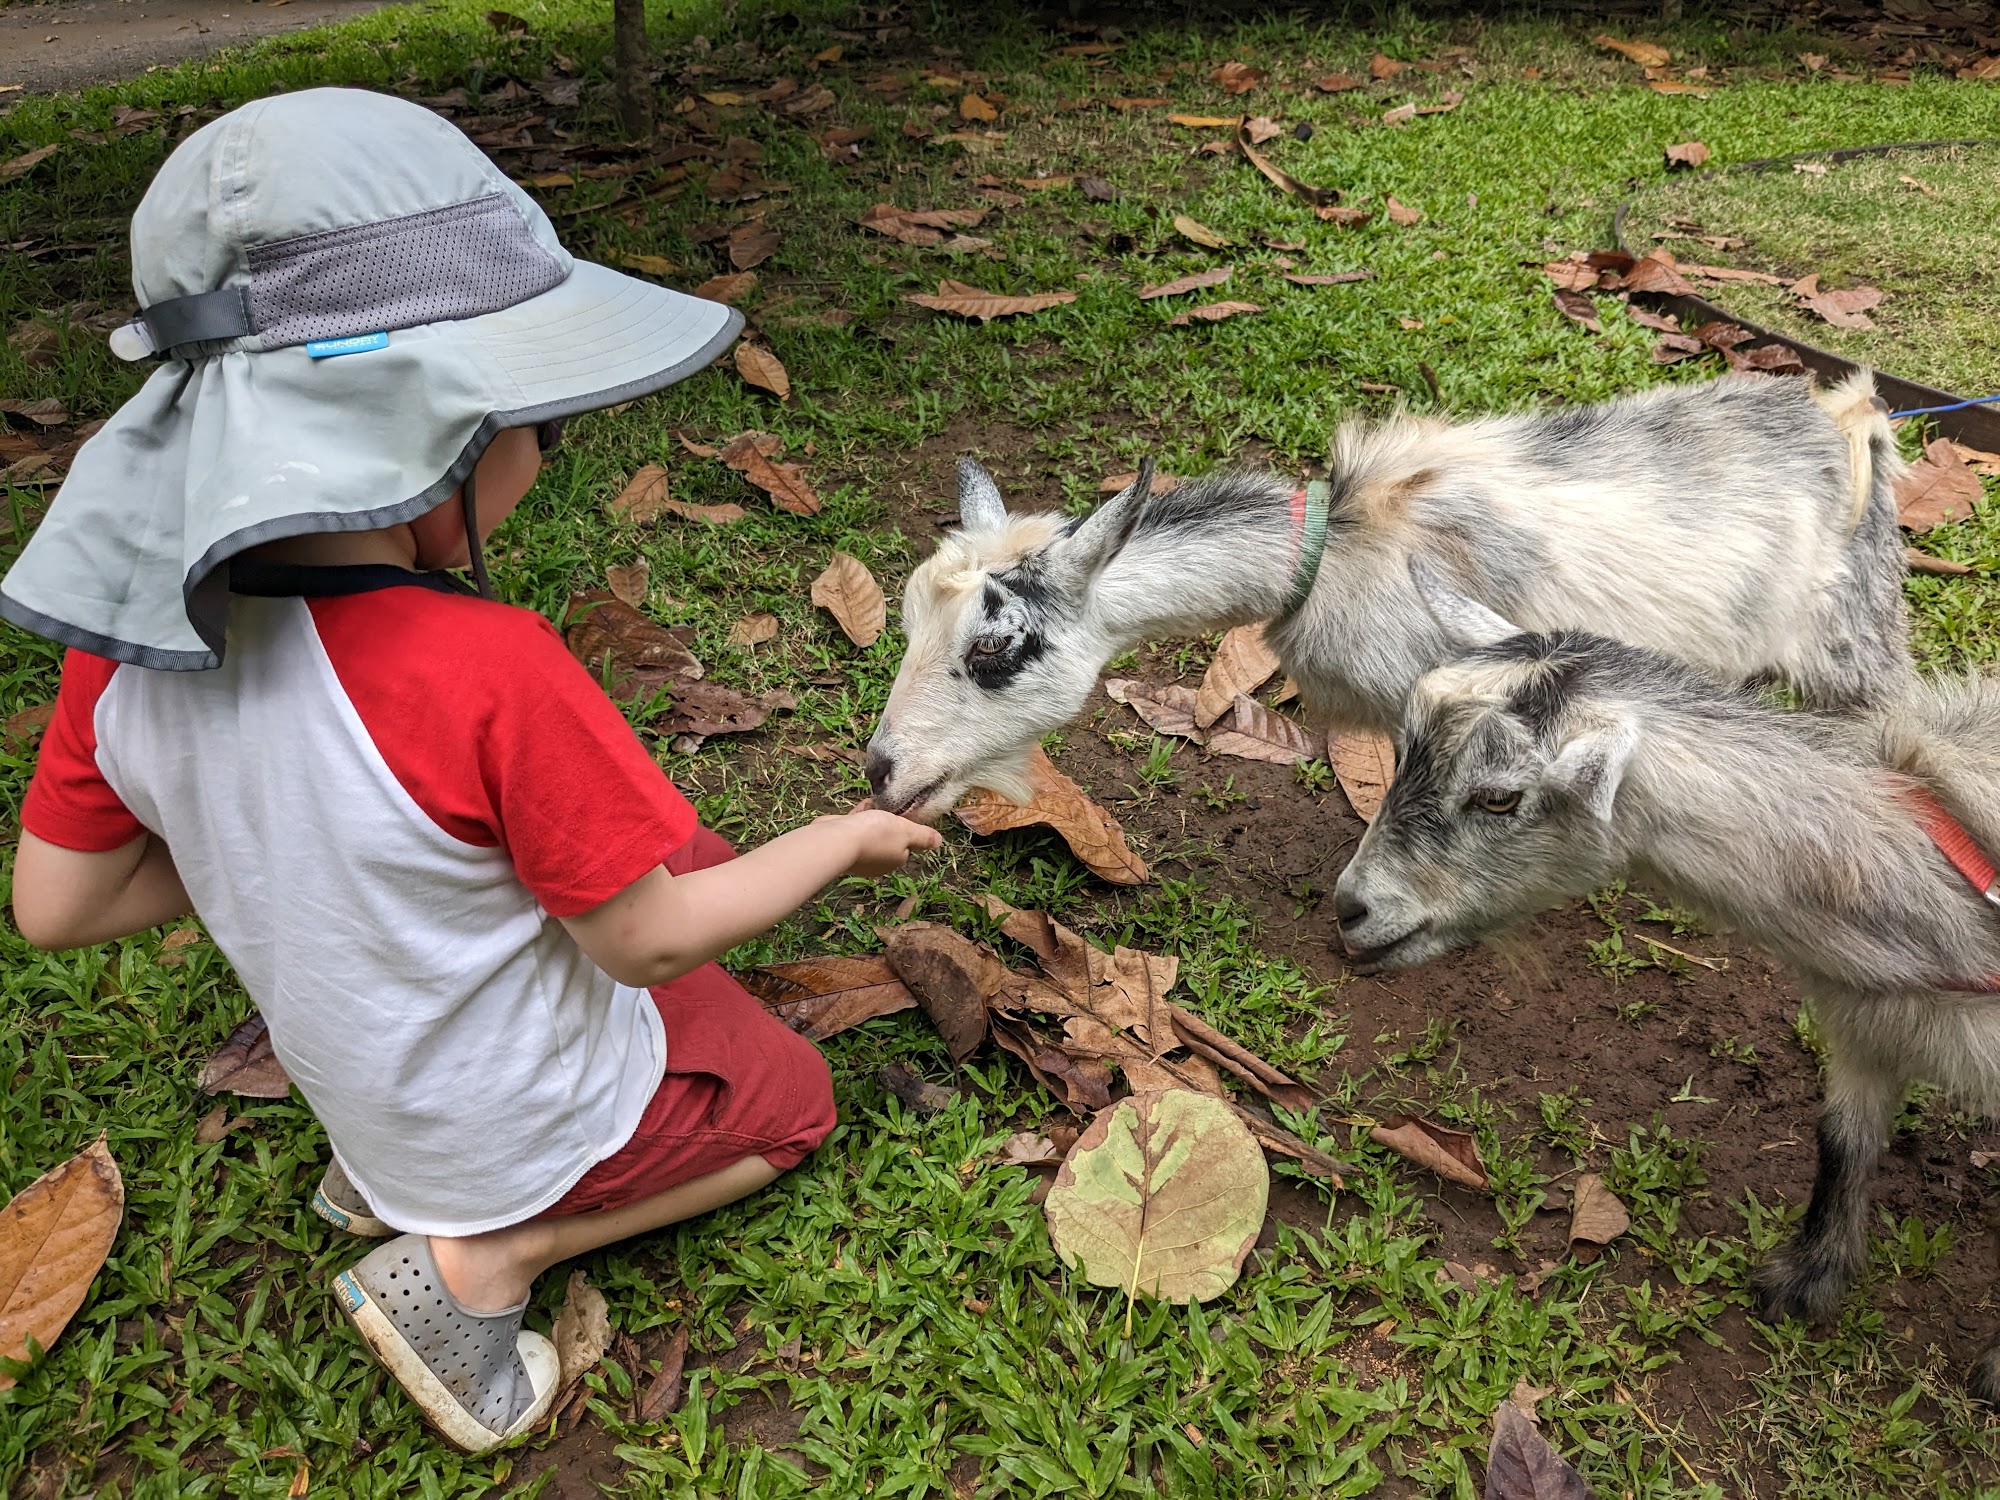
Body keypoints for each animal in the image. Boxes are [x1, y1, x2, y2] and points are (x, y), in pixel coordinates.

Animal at [865, 372, 1911, 820]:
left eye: (994, 649)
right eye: (910, 624)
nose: (880, 772)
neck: (1337, 553)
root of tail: (1849, 415)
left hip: (1858, 645)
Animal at [1334, 566, 2000, 1397]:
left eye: (1498, 796)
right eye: (1400, 753)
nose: (1350, 909)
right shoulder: (1865, 1028)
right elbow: (1842, 1142)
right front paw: (1808, 1279)